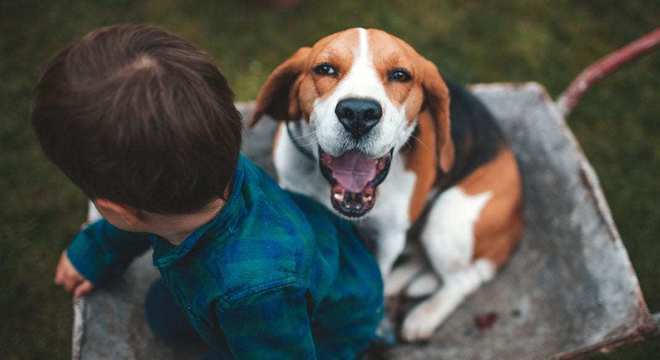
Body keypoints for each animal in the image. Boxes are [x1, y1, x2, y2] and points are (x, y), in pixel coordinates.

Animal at [250, 28, 524, 340]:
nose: (358, 112)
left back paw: (424, 315)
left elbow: (378, 271)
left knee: (463, 280)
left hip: (446, 219)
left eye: (400, 75)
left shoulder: (389, 235)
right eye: (325, 69)